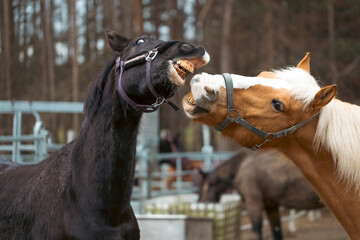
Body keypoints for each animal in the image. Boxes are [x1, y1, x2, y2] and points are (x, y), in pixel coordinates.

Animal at [183, 52, 360, 238]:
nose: (202, 83)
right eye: (263, 74)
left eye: (277, 105)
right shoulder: (271, 205)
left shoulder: (254, 203)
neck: (241, 166)